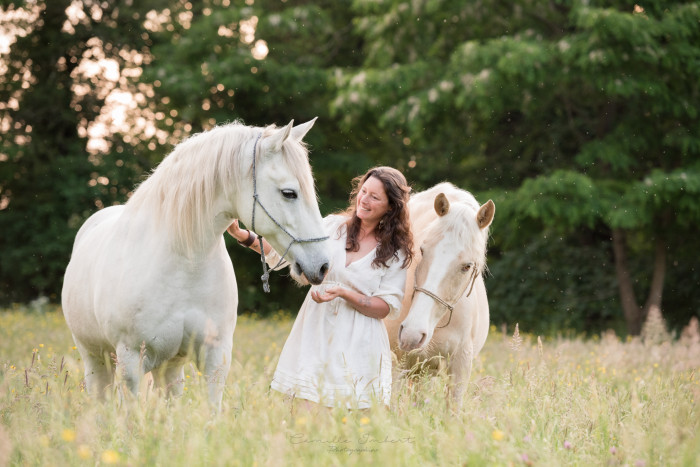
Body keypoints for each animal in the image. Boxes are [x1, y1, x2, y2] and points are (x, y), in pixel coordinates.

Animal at [61, 119, 330, 410]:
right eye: (289, 193)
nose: (323, 265)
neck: (183, 265)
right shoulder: (130, 362)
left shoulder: (215, 358)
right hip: (96, 360)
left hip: (169, 368)